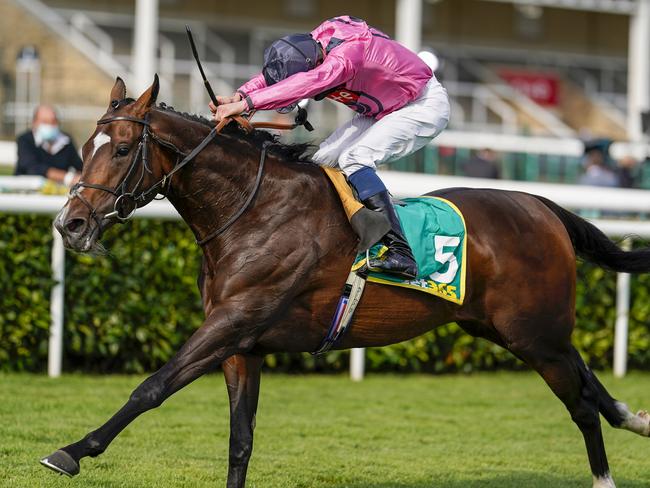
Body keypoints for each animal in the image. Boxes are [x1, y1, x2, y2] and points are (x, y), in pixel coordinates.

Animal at [43, 76, 644, 488]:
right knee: (587, 379)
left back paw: (605, 474)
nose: (70, 224)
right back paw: (634, 417)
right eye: (84, 148)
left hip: (533, 335)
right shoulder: (241, 343)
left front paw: (72, 450)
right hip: (513, 330)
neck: (252, 210)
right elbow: (240, 440)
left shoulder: (233, 321)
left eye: (122, 150)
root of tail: (540, 204)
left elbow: (152, 387)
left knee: (581, 405)